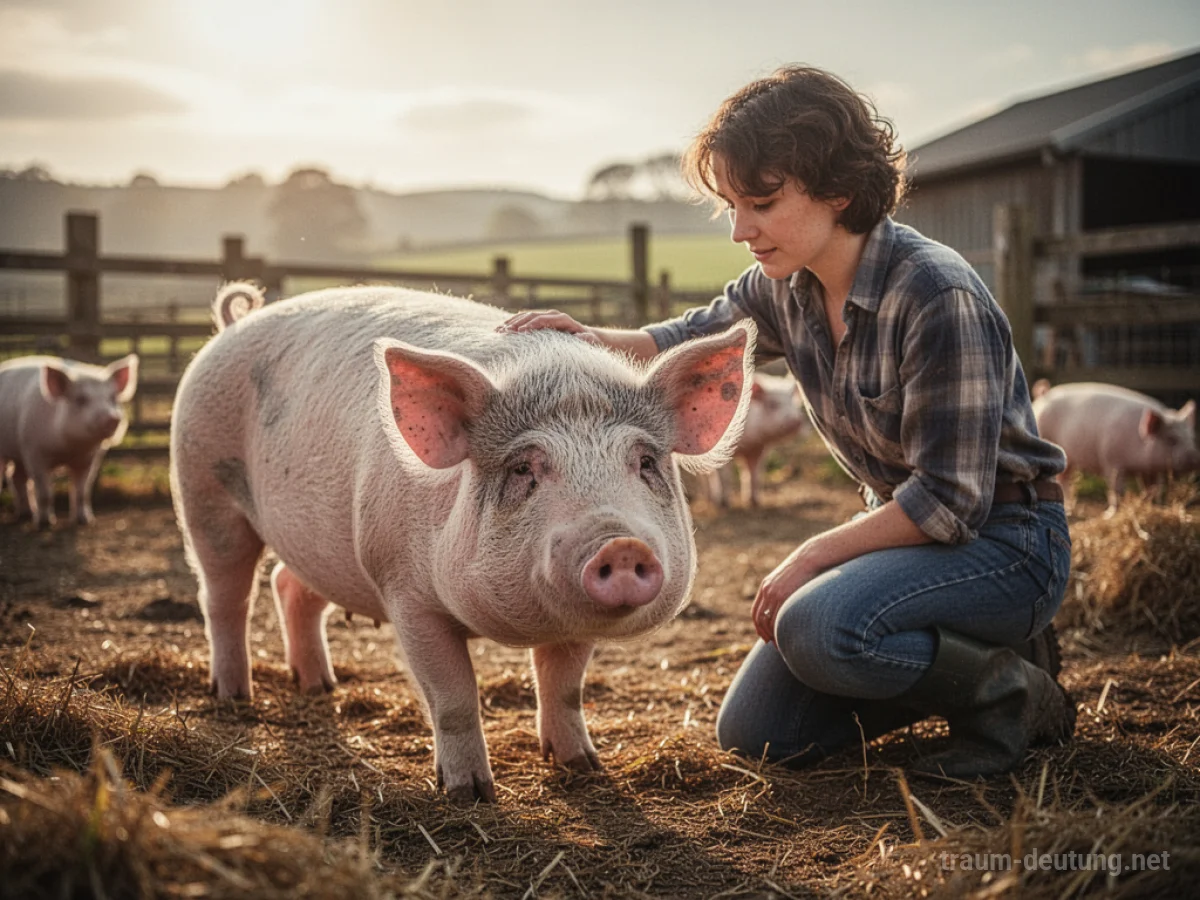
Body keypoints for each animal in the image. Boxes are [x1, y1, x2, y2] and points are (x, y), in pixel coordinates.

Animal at [0, 354, 139, 528]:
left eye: (112, 398)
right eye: (81, 399)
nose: (113, 418)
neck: (68, 449)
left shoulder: (88, 460)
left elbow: (82, 492)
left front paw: (86, 521)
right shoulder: (33, 452)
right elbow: (44, 492)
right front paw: (45, 523)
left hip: (19, 456)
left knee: (16, 477)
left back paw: (25, 515)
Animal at [170, 282, 754, 802]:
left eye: (646, 461)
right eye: (523, 468)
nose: (620, 545)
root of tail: (234, 324)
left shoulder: (574, 624)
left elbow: (564, 685)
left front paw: (584, 767)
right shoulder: (405, 593)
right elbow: (453, 696)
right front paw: (470, 794)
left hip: (324, 544)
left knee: (289, 584)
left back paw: (320, 686)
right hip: (204, 489)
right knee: (224, 596)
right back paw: (233, 694)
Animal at [706, 372, 809, 507]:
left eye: (794, 403)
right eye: (772, 404)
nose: (797, 420)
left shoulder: (758, 448)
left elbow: (753, 474)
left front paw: (754, 502)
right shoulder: (722, 448)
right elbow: (725, 476)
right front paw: (724, 503)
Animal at [1032, 381, 1200, 515]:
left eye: (1191, 438)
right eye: (1171, 439)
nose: (1194, 457)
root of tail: (1045, 395)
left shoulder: (1151, 471)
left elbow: (1153, 489)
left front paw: (1153, 507)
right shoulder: (1112, 462)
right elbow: (1116, 489)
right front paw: (1110, 514)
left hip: (1069, 458)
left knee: (1064, 479)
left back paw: (1069, 509)